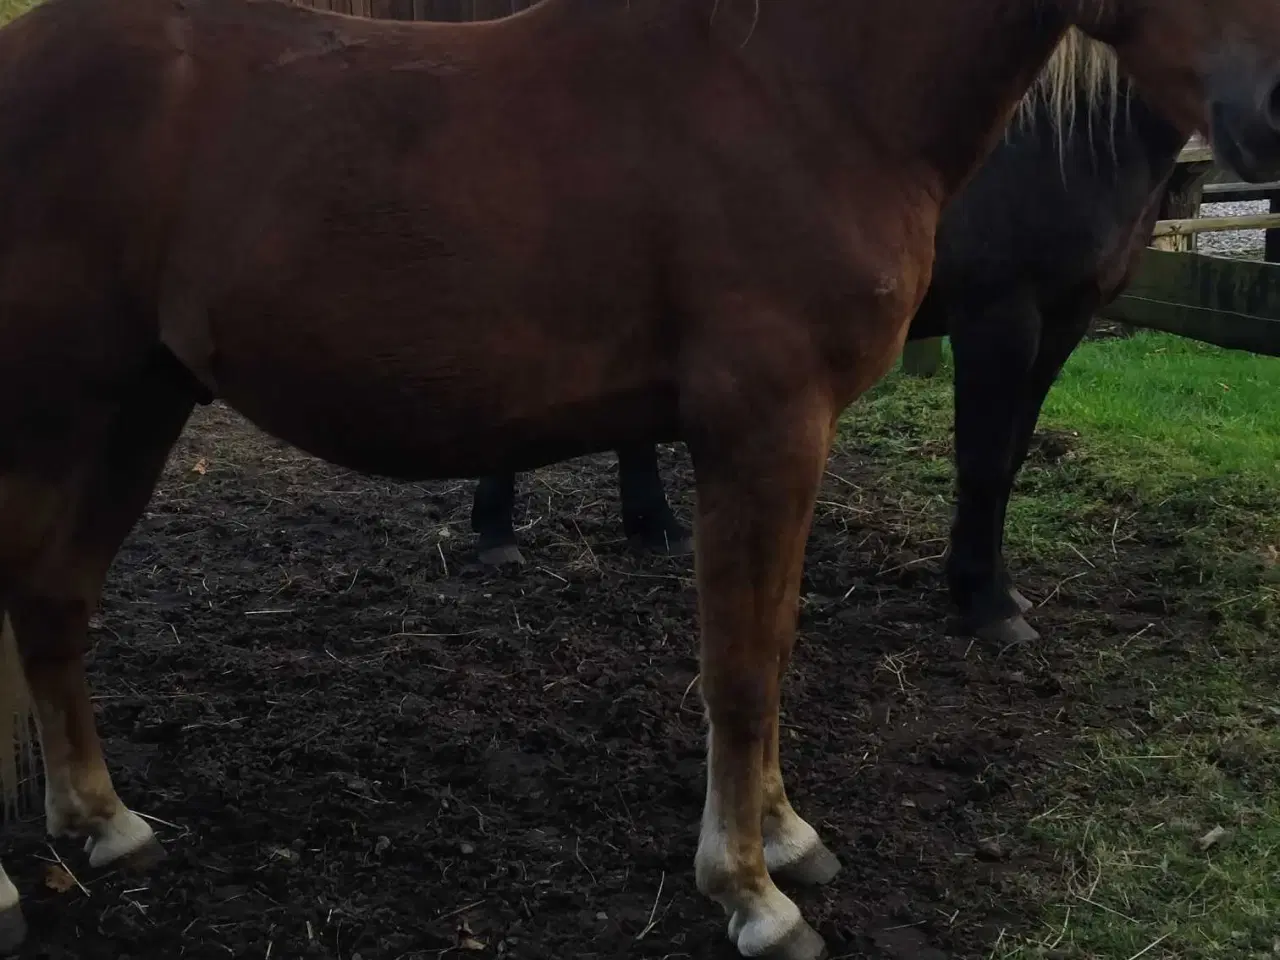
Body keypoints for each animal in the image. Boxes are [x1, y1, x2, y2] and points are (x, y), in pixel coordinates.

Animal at [1, 1, 1279, 956]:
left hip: (137, 407)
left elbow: (772, 646)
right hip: (59, 411)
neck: (805, 97)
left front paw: (787, 836)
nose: (1266, 107)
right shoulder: (764, 432)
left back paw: (101, 822)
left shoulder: (795, 439)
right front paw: (750, 893)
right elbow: (740, 668)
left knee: (50, 604)